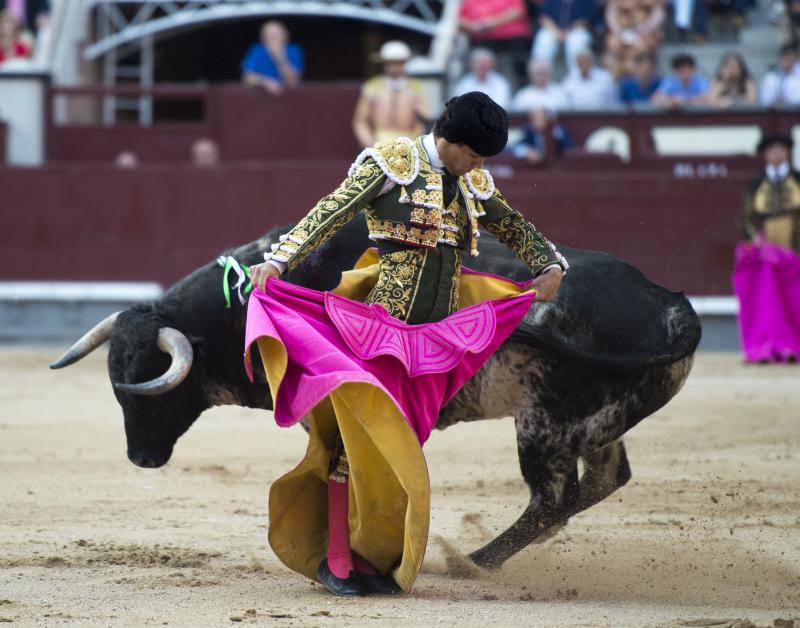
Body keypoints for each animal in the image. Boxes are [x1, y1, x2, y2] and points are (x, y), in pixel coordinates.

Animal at [50, 216, 701, 570]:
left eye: (150, 388)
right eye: (116, 385)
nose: (140, 457)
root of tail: (673, 304)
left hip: (544, 422)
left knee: (551, 497)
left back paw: (469, 564)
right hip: (594, 423)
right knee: (601, 481)